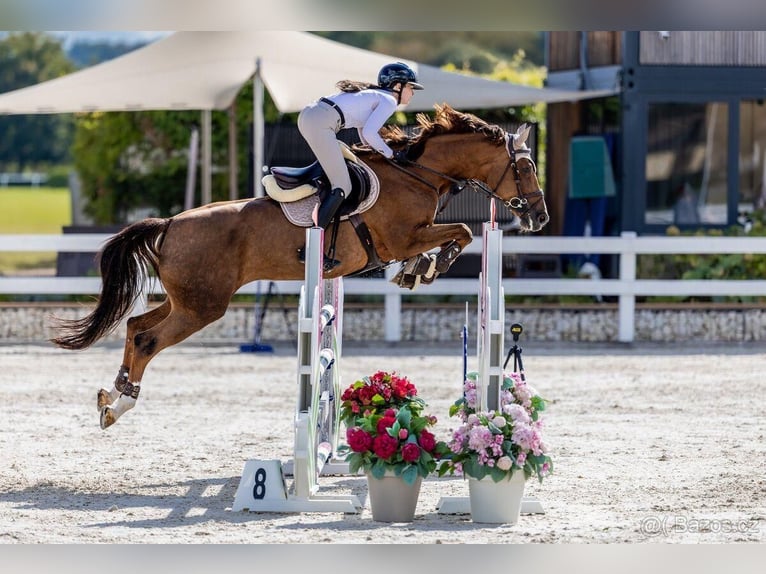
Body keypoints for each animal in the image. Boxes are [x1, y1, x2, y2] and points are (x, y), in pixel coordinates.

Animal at [51, 104, 549, 429]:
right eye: (526, 169)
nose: (540, 217)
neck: (415, 174)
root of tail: (170, 223)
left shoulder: (411, 236)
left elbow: (451, 237)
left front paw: (417, 270)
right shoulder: (403, 237)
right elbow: (461, 232)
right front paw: (426, 268)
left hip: (187, 300)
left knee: (136, 325)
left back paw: (111, 396)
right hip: (203, 308)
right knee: (149, 339)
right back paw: (121, 405)